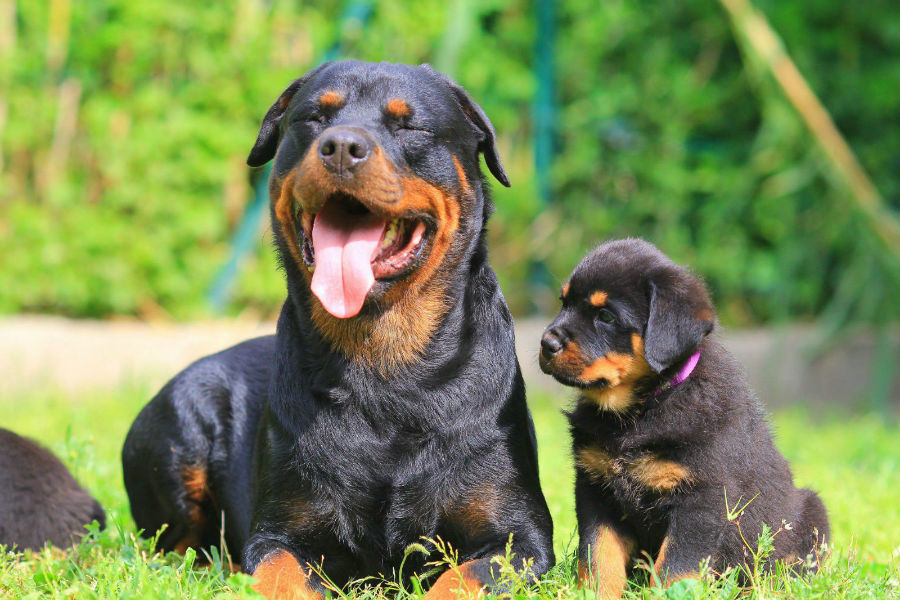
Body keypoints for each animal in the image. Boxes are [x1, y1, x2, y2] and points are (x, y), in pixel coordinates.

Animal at [119, 61, 556, 600]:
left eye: (410, 126)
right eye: (313, 118)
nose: (342, 145)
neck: (382, 362)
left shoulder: (520, 539)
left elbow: (459, 579)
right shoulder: (277, 535)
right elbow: (279, 573)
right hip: (180, 430)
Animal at [536, 237, 828, 596]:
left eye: (605, 315)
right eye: (564, 303)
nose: (546, 342)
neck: (639, 410)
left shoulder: (701, 498)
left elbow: (674, 568)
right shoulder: (596, 489)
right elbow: (598, 558)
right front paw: (597, 594)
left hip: (812, 515)